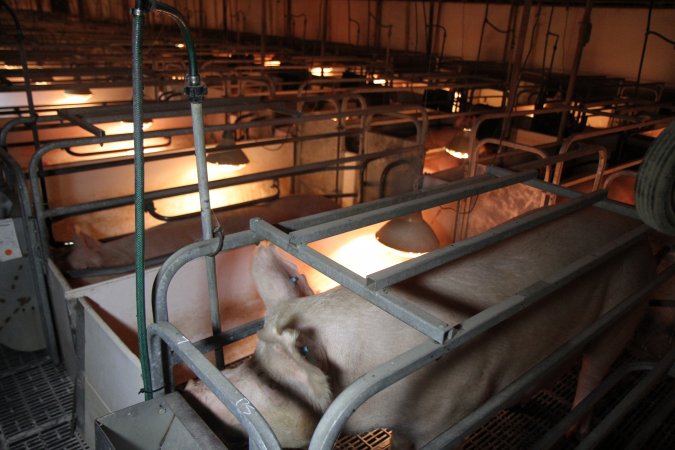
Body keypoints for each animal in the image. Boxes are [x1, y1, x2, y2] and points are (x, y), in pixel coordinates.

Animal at [184, 207, 656, 446]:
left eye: (270, 381)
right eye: (252, 358)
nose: (191, 387)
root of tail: (633, 223)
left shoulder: (450, 415)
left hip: (629, 304)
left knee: (596, 367)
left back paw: (577, 430)